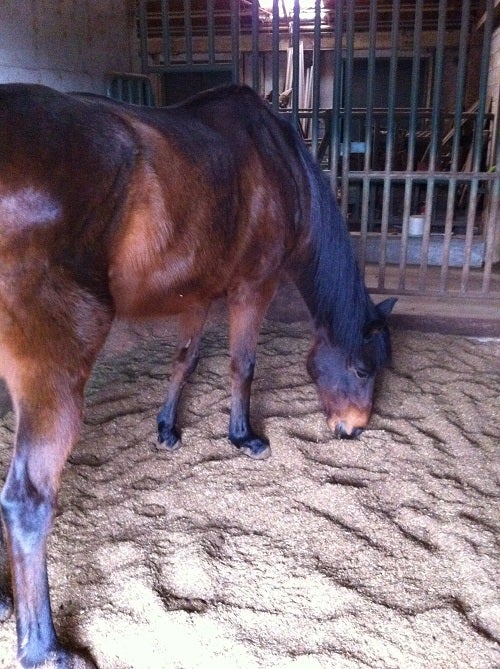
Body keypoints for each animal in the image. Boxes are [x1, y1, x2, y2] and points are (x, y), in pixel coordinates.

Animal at [0, 82, 396, 668]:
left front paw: (168, 428)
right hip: (54, 374)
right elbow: (241, 364)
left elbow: (183, 359)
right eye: (362, 367)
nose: (354, 428)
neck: (280, 163)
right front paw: (244, 436)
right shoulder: (254, 286)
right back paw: (45, 649)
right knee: (27, 503)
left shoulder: (198, 292)